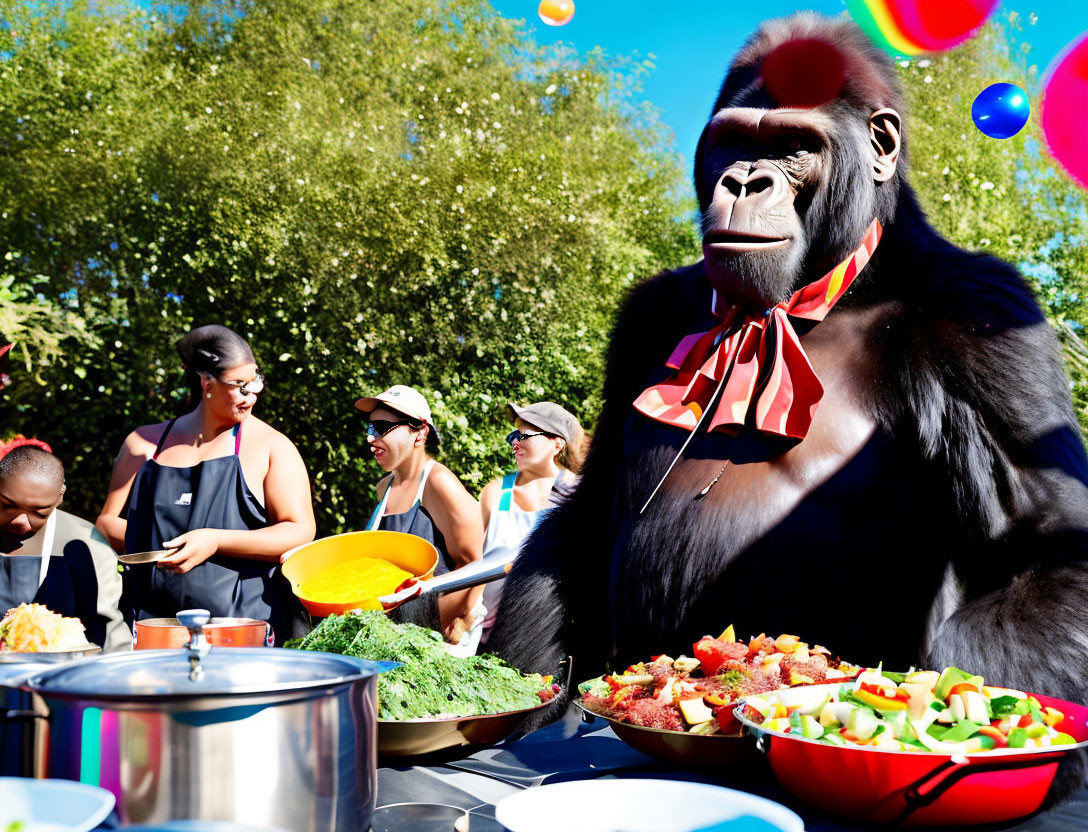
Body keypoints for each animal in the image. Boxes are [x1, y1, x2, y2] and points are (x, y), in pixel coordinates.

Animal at [493, 11, 1088, 739]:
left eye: (793, 147)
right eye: (734, 142)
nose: (745, 183)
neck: (820, 296)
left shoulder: (988, 316)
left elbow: (1046, 550)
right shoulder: (646, 315)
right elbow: (590, 506)